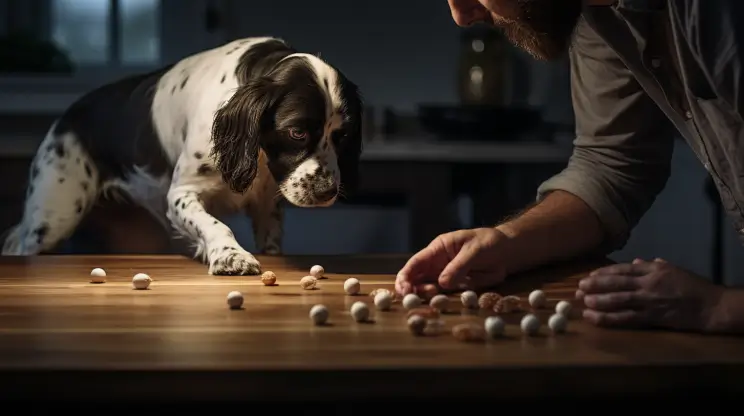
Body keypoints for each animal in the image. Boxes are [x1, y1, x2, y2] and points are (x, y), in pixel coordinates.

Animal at [0, 36, 364, 276]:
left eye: (343, 135)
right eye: (297, 132)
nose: (328, 192)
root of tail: (65, 117)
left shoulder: (266, 207)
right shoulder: (181, 194)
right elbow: (215, 224)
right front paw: (230, 255)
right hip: (53, 218)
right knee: (20, 244)